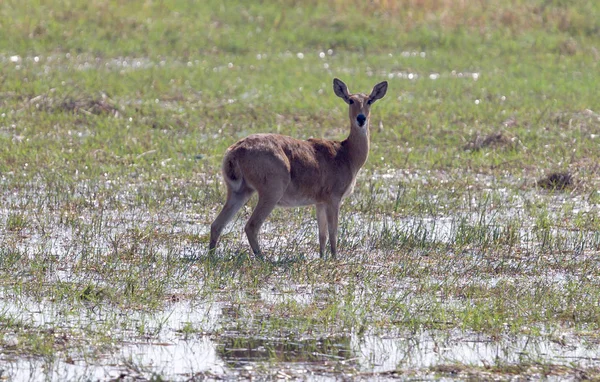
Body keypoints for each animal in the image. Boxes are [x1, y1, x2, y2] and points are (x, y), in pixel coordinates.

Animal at [211, 77, 390, 258]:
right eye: (351, 100)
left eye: (369, 100)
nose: (361, 118)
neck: (346, 154)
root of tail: (234, 151)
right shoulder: (334, 198)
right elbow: (333, 231)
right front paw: (334, 258)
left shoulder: (320, 201)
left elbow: (322, 234)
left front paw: (322, 257)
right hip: (271, 191)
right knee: (251, 226)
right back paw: (263, 258)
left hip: (239, 191)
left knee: (217, 224)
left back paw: (212, 256)